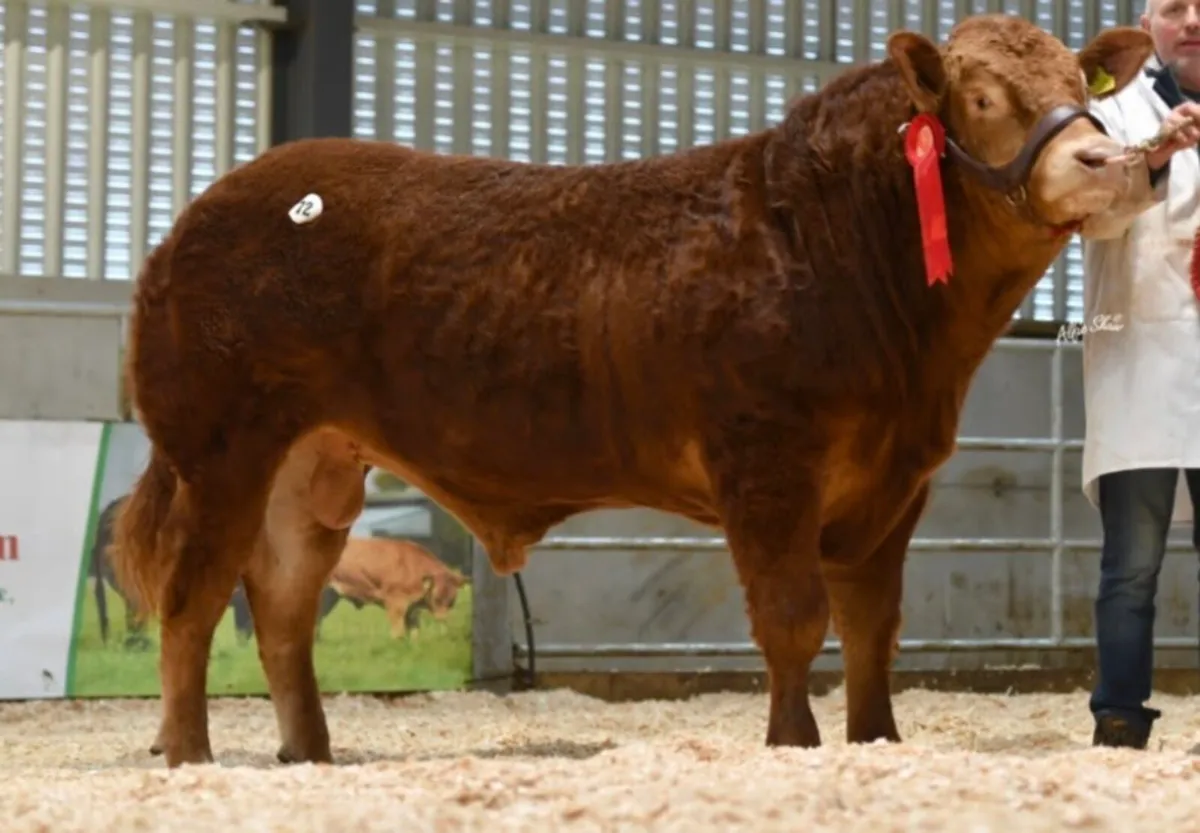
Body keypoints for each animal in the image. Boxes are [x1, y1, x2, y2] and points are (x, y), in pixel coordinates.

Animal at [316, 536, 468, 639]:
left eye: (452, 601)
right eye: (436, 599)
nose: (442, 619)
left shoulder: (412, 609)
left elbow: (415, 632)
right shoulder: (396, 602)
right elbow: (398, 632)